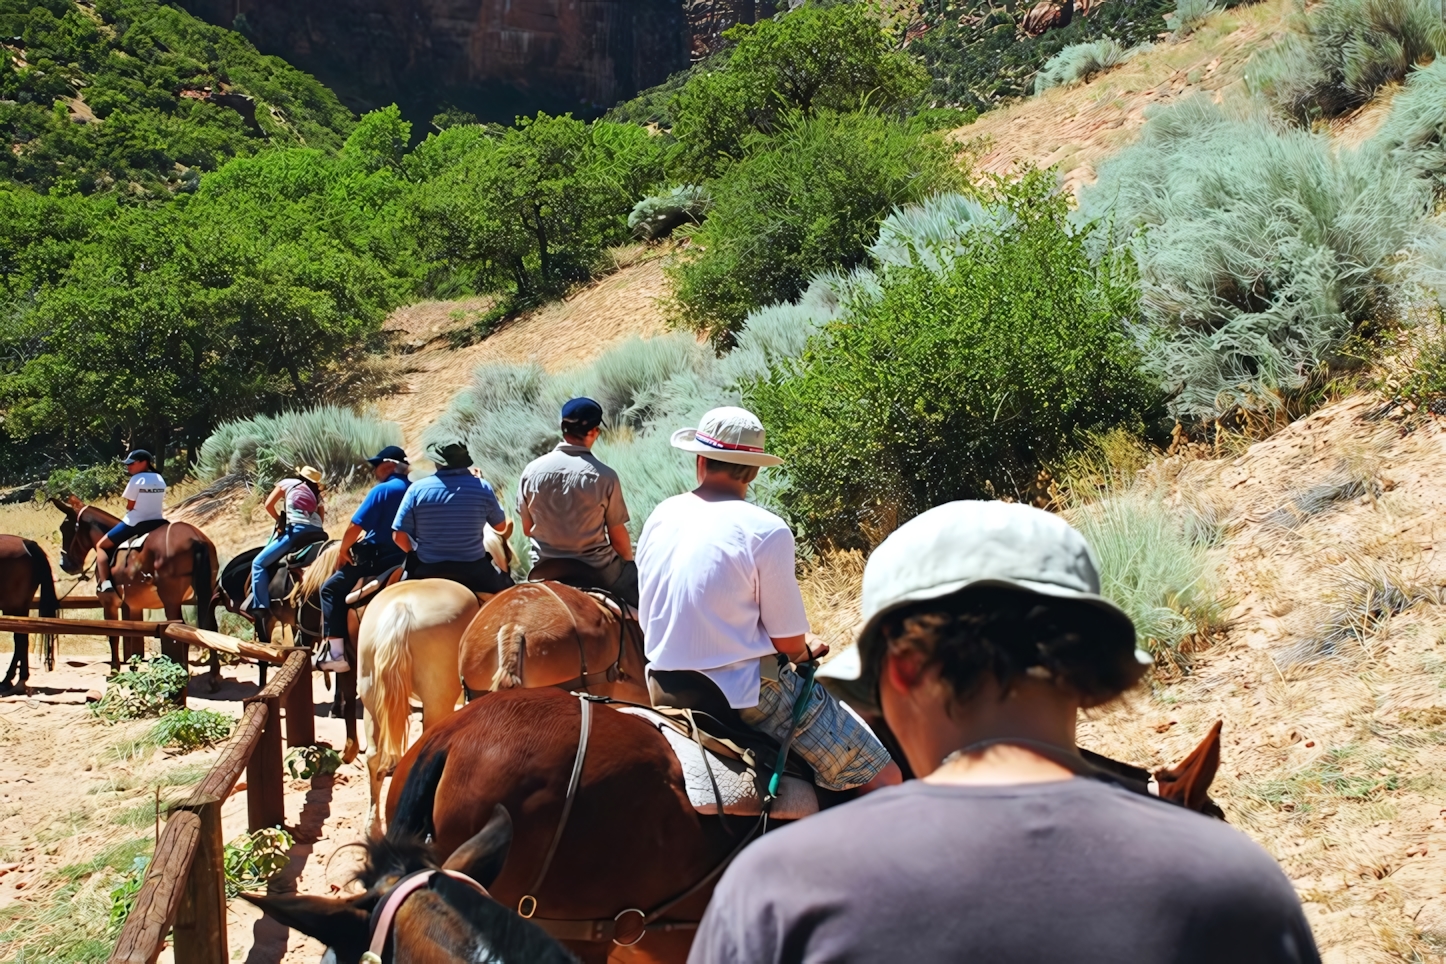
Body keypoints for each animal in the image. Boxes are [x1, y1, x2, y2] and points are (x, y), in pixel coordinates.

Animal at [54, 502, 219, 676]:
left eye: (65, 528)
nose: (64, 565)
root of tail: (195, 538)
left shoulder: (109, 604)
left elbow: (113, 635)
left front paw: (114, 670)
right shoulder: (134, 606)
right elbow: (134, 633)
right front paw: (134, 667)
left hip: (171, 600)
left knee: (180, 635)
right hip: (206, 593)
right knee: (210, 629)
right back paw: (213, 674)